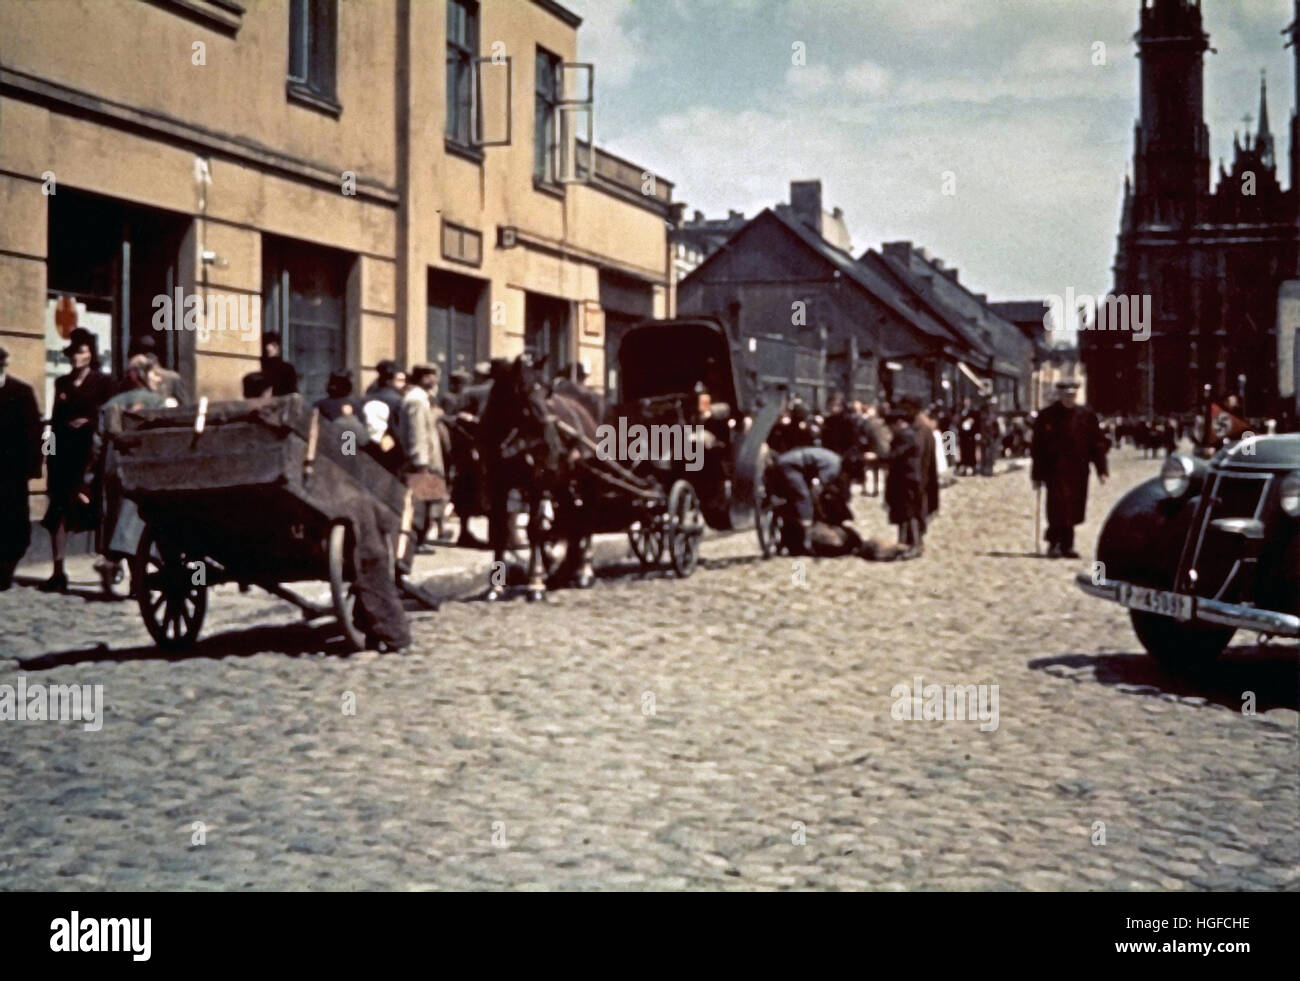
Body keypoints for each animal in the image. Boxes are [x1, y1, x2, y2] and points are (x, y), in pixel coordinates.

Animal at [478, 353, 598, 597]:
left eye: (548, 391)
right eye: (523, 390)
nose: (551, 440)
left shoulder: (537, 482)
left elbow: (534, 528)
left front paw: (535, 582)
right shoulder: (497, 485)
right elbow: (499, 530)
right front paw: (496, 586)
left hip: (584, 481)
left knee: (586, 516)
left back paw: (584, 570)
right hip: (563, 482)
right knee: (570, 517)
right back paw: (566, 570)